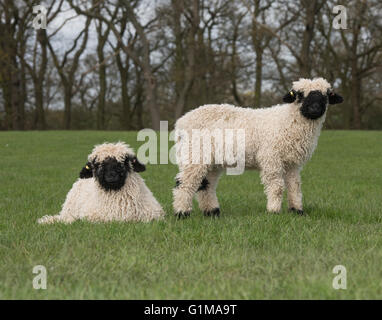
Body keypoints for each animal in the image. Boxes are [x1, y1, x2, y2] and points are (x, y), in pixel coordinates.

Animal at [172, 77, 344, 218]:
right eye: (299, 95)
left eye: (326, 95)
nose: (314, 109)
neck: (288, 121)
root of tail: (182, 121)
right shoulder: (271, 157)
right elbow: (277, 186)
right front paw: (274, 211)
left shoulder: (292, 163)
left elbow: (295, 186)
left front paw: (297, 210)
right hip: (194, 154)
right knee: (185, 183)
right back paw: (182, 212)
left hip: (212, 160)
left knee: (206, 186)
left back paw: (212, 212)